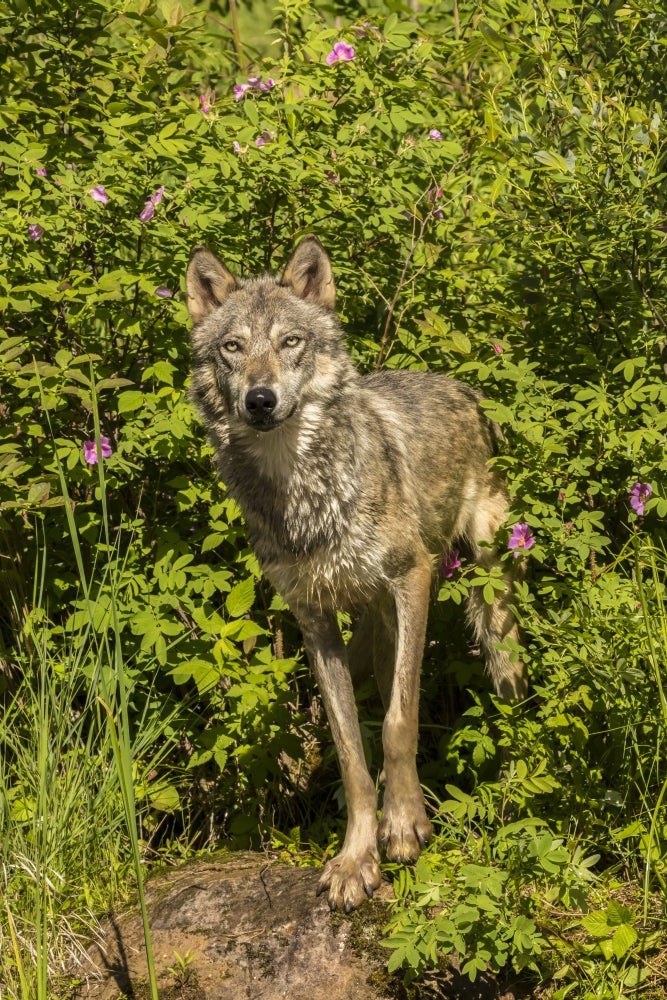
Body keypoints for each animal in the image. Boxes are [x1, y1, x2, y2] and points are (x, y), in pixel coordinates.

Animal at [186, 236, 527, 913]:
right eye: (232, 347)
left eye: (290, 341)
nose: (260, 399)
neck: (302, 493)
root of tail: (464, 389)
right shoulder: (314, 622)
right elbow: (349, 750)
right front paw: (355, 859)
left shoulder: (412, 579)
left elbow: (399, 722)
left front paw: (405, 825)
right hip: (371, 633)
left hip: (487, 597)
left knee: (499, 684)